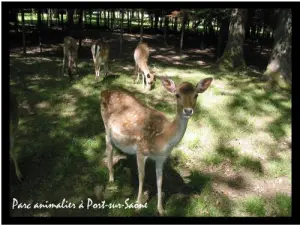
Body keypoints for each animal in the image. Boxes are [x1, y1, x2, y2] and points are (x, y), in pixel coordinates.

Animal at [99, 76, 212, 215]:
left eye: (196, 95)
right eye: (177, 95)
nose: (188, 110)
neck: (162, 139)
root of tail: (104, 91)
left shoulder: (161, 158)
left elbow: (160, 180)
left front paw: (161, 209)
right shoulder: (141, 150)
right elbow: (142, 177)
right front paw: (137, 205)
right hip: (106, 126)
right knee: (108, 146)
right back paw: (111, 179)